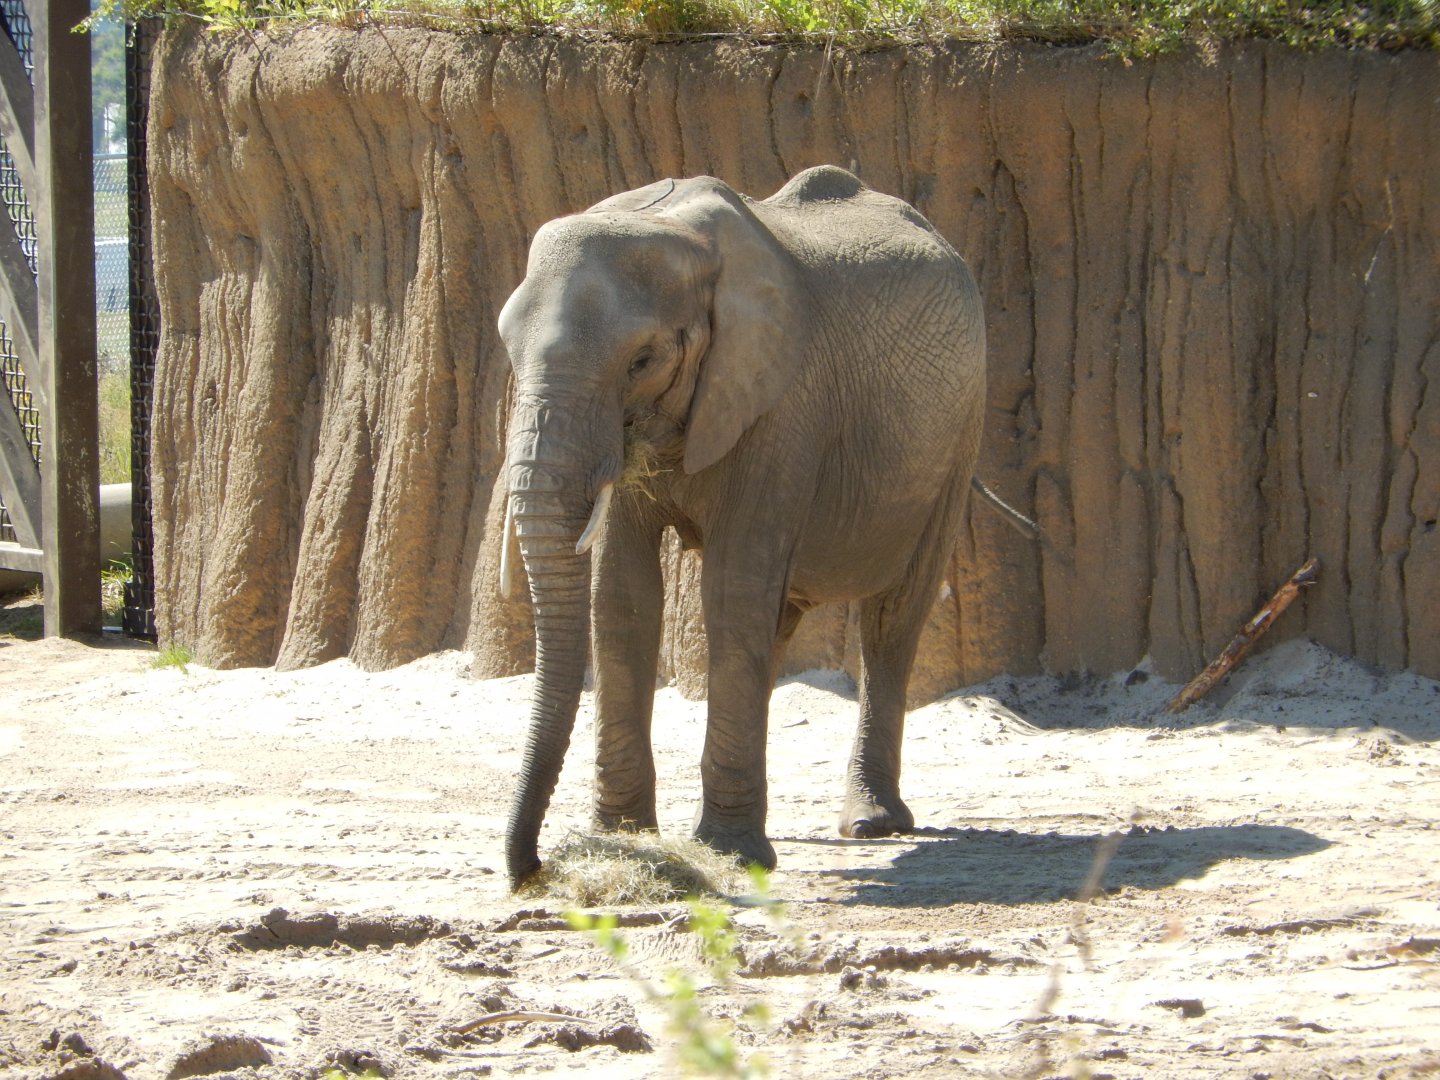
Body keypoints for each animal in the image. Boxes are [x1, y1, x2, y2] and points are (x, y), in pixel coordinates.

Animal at [497, 165, 987, 889]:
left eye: (641, 360)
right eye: (509, 348)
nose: (531, 870)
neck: (671, 230)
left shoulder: (782, 402)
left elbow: (730, 589)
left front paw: (728, 853)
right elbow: (622, 598)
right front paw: (626, 837)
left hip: (957, 437)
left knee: (892, 618)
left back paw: (871, 824)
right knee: (778, 620)